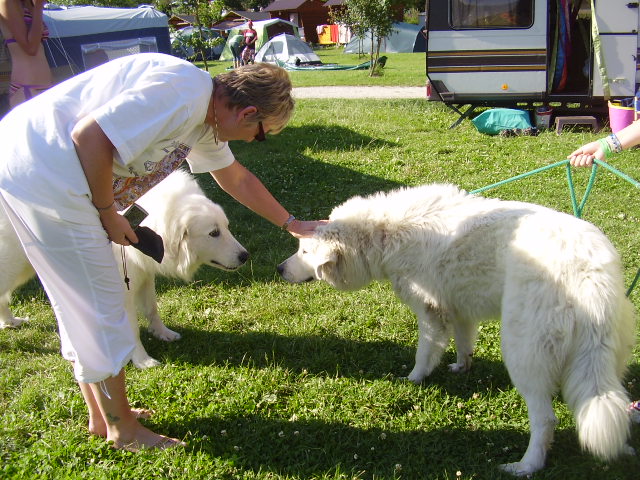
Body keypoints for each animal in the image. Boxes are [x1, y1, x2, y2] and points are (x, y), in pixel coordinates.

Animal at [0, 171, 249, 370]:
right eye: (213, 233)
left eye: (226, 227)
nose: (245, 256)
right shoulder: (119, 293)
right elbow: (132, 329)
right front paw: (142, 361)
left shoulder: (144, 275)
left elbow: (152, 309)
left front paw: (163, 333)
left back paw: (10, 322)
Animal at [278, 183, 636, 476]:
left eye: (304, 252)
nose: (280, 269)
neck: (383, 233)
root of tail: (588, 275)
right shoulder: (459, 307)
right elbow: (464, 342)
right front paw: (462, 367)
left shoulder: (430, 312)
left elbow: (424, 353)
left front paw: (413, 379)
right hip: (602, 360)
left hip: (522, 353)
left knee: (545, 420)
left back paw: (525, 465)